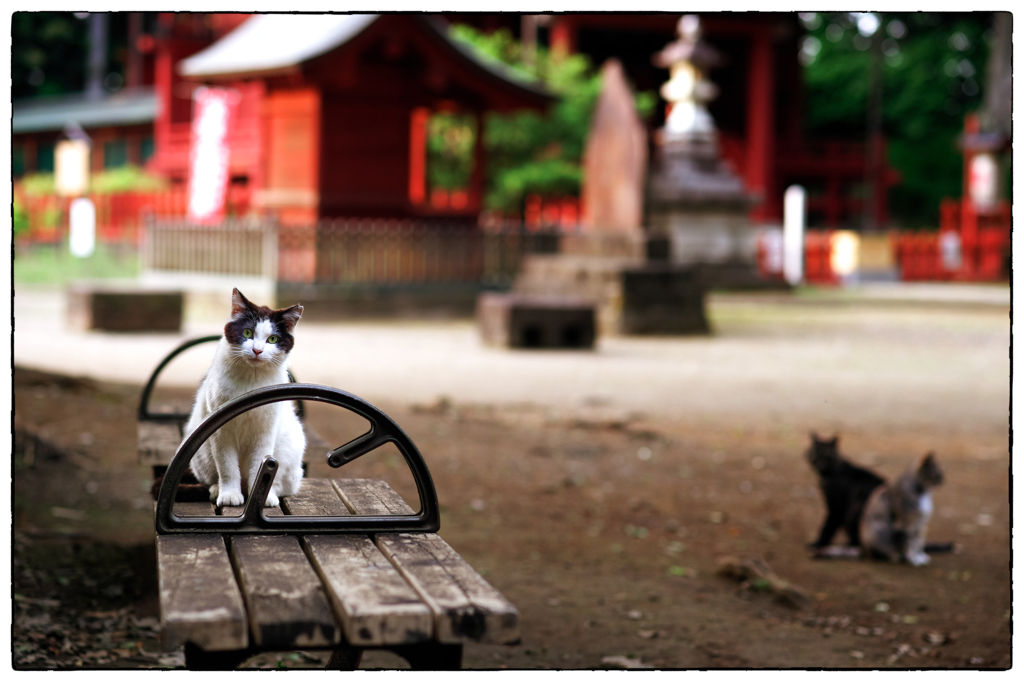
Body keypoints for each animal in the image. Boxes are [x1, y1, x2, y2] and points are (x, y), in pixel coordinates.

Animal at [185, 286, 305, 503]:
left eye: (272, 339)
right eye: (247, 332)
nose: (257, 350)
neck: (251, 380)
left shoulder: (265, 432)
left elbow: (260, 466)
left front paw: (261, 497)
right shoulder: (220, 433)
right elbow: (227, 467)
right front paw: (229, 494)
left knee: (283, 484)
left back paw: (271, 493)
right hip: (201, 457)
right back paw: (217, 489)